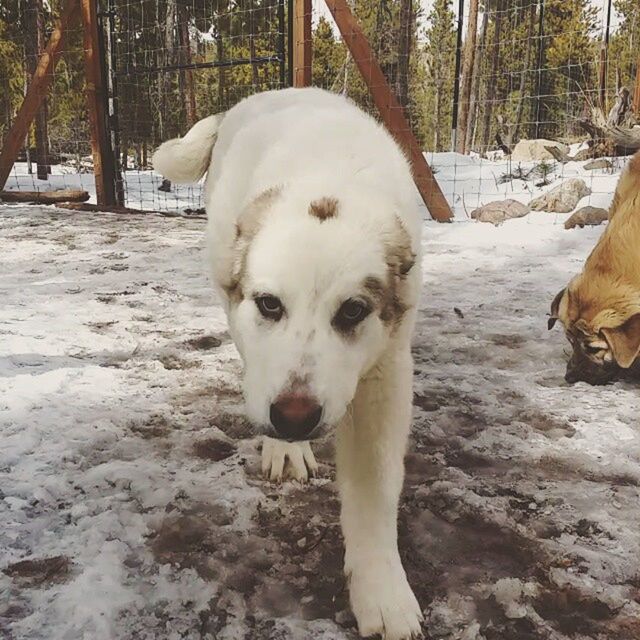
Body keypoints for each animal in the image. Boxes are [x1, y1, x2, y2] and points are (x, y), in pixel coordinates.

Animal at [154, 87, 424, 636]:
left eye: (353, 311)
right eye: (270, 305)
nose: (294, 419)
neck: (329, 175)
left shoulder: (386, 372)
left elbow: (375, 488)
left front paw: (382, 592)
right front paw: (283, 448)